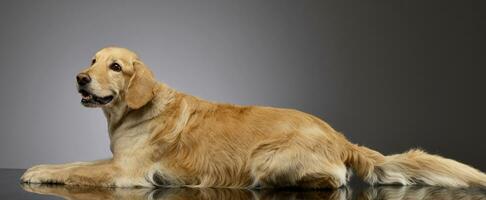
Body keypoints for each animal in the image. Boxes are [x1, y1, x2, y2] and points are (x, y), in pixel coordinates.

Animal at [19, 46, 486, 188]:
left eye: (115, 66)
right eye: (92, 60)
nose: (80, 78)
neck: (133, 110)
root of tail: (339, 137)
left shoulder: (126, 172)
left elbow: (77, 171)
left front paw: (42, 172)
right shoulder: (118, 162)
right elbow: (73, 162)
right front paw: (40, 166)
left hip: (267, 161)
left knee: (335, 179)